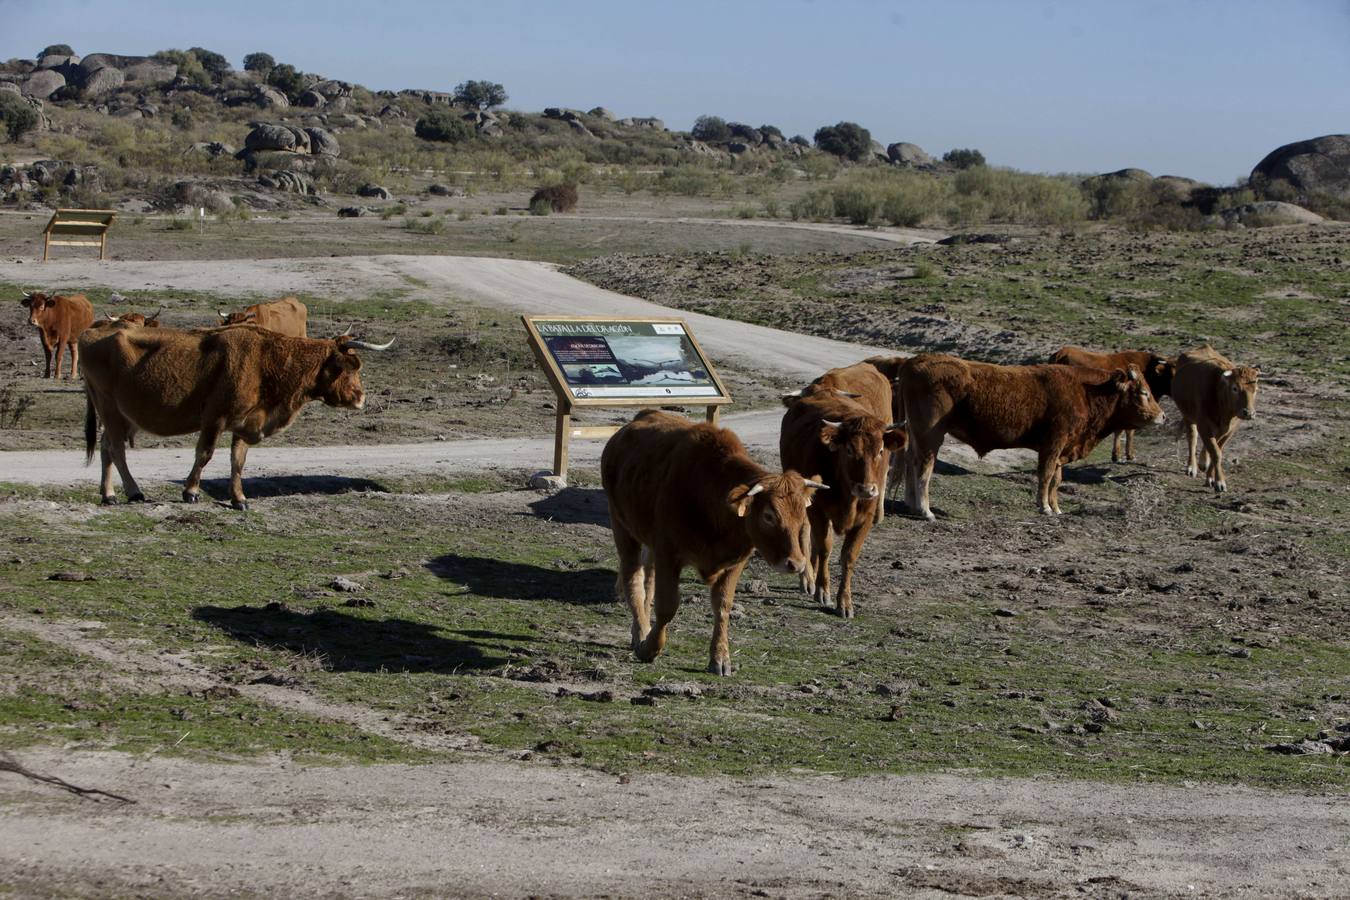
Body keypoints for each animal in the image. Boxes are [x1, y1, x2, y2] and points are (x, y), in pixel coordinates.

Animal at [80, 323, 393, 510]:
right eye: (350, 367)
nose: (360, 398)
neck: (266, 360)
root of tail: (94, 331)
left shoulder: (245, 424)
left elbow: (237, 462)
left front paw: (239, 498)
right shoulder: (214, 419)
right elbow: (205, 454)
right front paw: (191, 491)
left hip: (123, 416)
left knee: (107, 447)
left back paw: (109, 493)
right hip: (110, 408)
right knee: (115, 448)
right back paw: (132, 491)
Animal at [601, 409, 826, 675]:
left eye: (802, 513)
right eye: (769, 516)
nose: (796, 563)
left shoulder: (735, 561)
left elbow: (722, 606)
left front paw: (720, 658)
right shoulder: (668, 553)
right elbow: (667, 606)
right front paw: (650, 648)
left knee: (648, 578)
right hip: (622, 527)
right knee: (633, 578)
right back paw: (641, 632)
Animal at [780, 386, 906, 618]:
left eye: (880, 450)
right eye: (849, 450)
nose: (866, 489)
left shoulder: (866, 518)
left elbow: (849, 556)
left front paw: (845, 602)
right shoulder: (818, 510)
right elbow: (825, 547)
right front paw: (822, 590)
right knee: (805, 532)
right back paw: (808, 579)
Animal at [899, 354, 1165, 518]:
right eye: (1143, 392)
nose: (1162, 416)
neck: (1085, 391)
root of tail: (915, 361)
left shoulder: (1062, 449)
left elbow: (1056, 479)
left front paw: (1056, 508)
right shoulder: (1053, 444)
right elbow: (1046, 475)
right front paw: (1045, 507)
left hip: (916, 435)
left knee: (910, 463)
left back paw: (911, 505)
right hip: (931, 435)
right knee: (924, 467)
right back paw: (925, 510)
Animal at [1171, 345, 1259, 493]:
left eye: (1255, 389)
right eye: (1235, 388)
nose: (1248, 413)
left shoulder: (1230, 430)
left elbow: (1217, 450)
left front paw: (1211, 478)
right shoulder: (1203, 425)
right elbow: (1216, 453)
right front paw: (1219, 482)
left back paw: (1203, 462)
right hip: (1187, 415)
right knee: (1192, 438)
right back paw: (1192, 467)